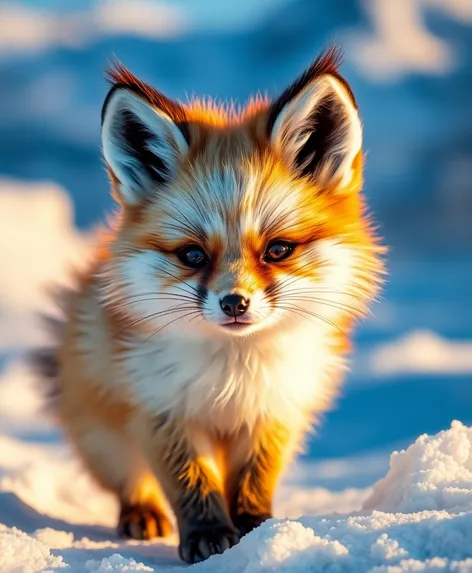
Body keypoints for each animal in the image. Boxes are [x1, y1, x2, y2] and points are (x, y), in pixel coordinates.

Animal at [30, 48, 384, 564]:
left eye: (277, 250)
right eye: (193, 255)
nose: (234, 302)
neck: (232, 377)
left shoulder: (273, 411)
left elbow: (253, 483)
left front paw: (256, 531)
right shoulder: (160, 410)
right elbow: (191, 483)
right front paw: (208, 534)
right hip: (105, 438)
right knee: (128, 478)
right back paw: (141, 513)